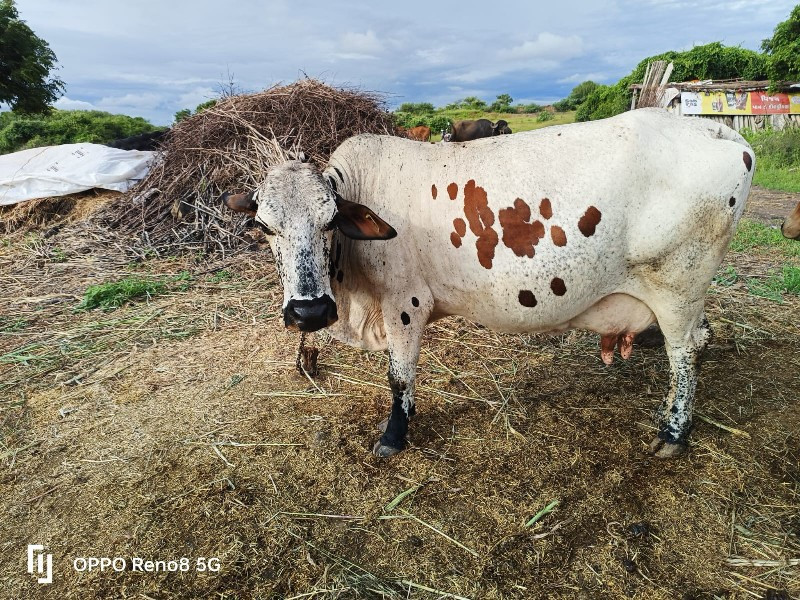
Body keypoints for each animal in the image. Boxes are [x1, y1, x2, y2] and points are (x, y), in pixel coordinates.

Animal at [223, 108, 756, 460]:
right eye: (266, 227)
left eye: (330, 220)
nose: (309, 312)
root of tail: (714, 128)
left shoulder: (404, 306)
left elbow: (400, 377)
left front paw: (394, 435)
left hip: (678, 288)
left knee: (685, 353)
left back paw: (674, 432)